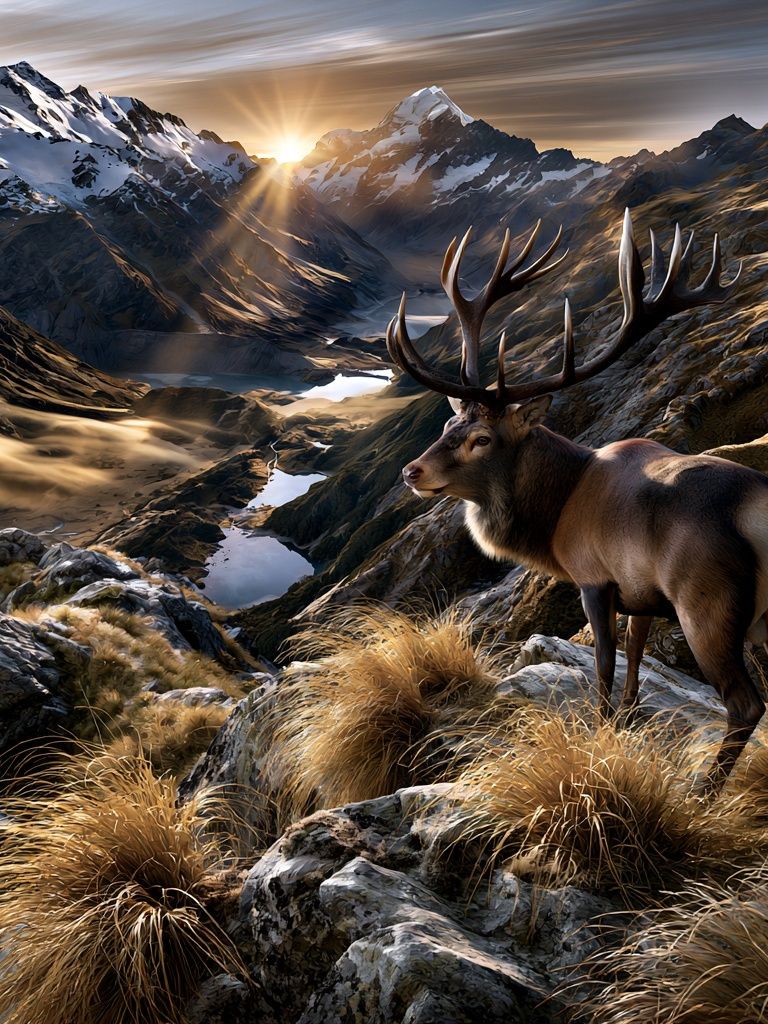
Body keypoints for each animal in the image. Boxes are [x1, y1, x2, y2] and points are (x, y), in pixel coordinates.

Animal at [387, 209, 768, 794]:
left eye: (481, 438)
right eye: (449, 425)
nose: (412, 471)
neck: (555, 517)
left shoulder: (595, 576)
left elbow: (605, 666)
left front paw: (602, 734)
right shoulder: (643, 596)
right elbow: (634, 659)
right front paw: (629, 723)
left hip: (707, 603)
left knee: (746, 704)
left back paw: (704, 793)